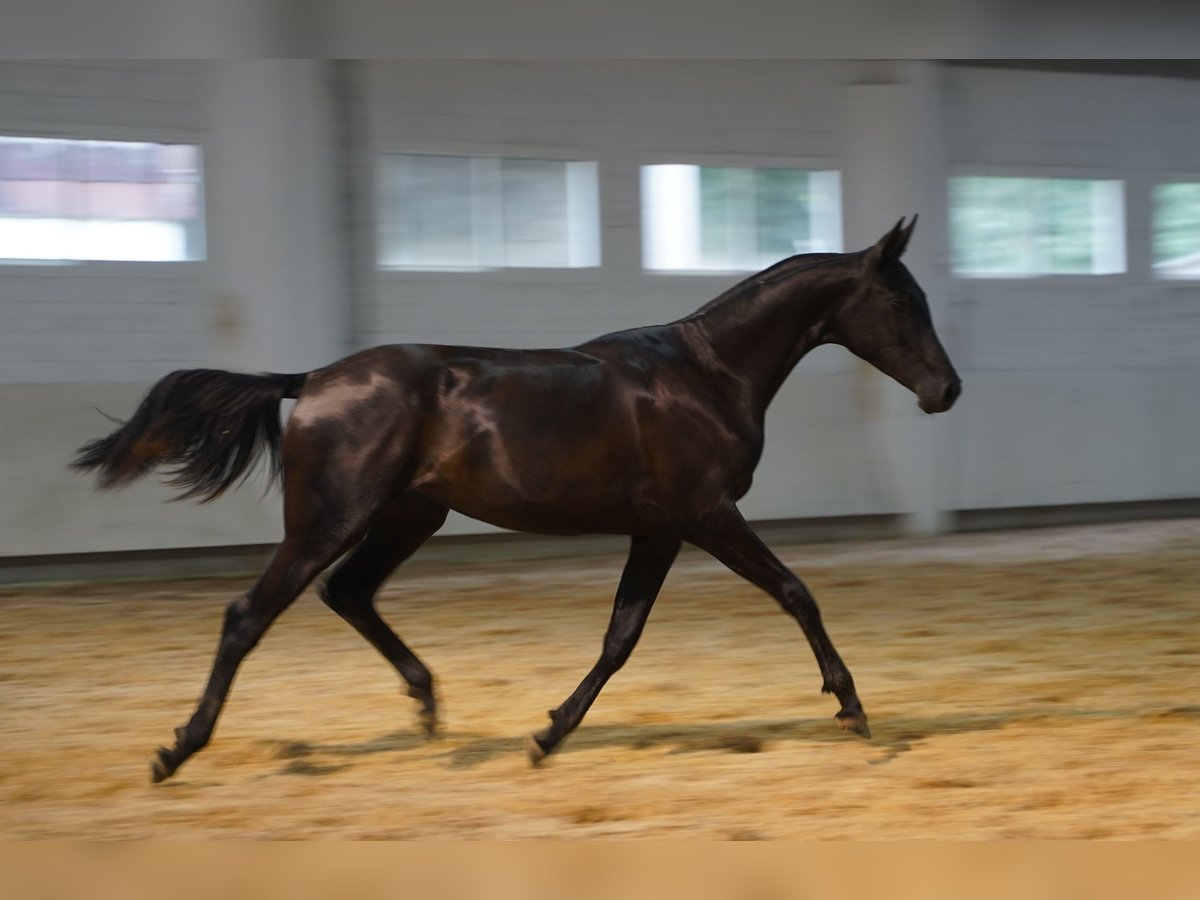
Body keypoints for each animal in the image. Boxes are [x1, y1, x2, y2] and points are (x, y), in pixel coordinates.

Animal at [72, 217, 955, 782]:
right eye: (902, 302)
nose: (947, 391)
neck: (706, 374)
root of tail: (312, 379)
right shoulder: (707, 516)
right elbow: (796, 592)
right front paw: (854, 711)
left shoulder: (660, 530)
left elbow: (620, 639)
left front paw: (546, 735)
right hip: (332, 518)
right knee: (251, 614)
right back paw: (177, 750)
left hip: (409, 514)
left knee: (348, 592)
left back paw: (429, 711)